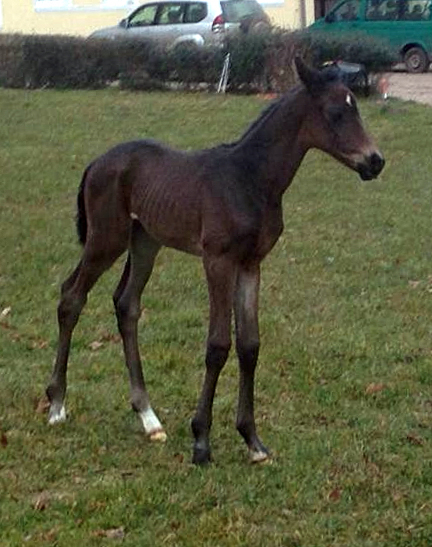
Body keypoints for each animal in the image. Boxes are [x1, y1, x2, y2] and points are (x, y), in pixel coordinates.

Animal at [47, 57, 384, 464]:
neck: (250, 178)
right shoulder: (217, 260)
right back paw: (57, 405)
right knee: (71, 296)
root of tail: (96, 162)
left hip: (145, 242)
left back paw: (148, 416)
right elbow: (218, 345)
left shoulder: (251, 263)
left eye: (357, 109)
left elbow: (250, 345)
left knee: (126, 304)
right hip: (105, 239)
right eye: (335, 113)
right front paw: (201, 441)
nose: (375, 162)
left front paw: (252, 440)